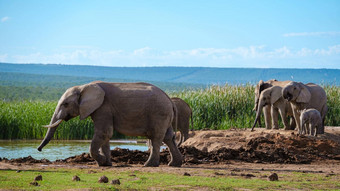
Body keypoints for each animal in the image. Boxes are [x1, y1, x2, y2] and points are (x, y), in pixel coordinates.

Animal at [36, 81, 183, 167]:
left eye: (65, 104)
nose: (39, 150)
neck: (83, 87)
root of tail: (170, 100)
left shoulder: (103, 107)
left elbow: (104, 132)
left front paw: (101, 161)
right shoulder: (100, 109)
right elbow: (105, 135)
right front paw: (106, 164)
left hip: (159, 113)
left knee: (156, 137)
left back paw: (149, 165)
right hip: (164, 115)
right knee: (168, 137)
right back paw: (174, 164)